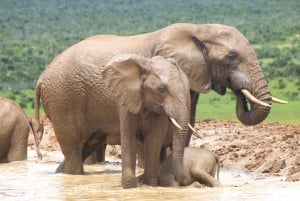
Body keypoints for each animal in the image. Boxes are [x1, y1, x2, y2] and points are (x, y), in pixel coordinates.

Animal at [35, 53, 190, 188]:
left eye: (187, 90)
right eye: (161, 89)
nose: (182, 180)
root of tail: (41, 78)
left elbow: (154, 139)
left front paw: (148, 185)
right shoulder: (124, 99)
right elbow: (129, 135)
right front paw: (130, 187)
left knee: (85, 146)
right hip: (63, 101)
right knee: (73, 148)